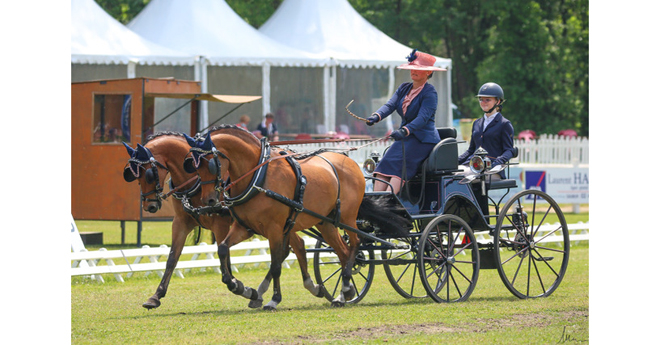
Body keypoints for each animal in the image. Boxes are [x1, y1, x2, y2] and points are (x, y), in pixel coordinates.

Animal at [124, 132, 322, 310]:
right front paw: (155, 296)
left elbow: (224, 258)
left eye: (149, 174)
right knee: (295, 246)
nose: (149, 206)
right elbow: (172, 258)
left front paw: (240, 287)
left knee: (292, 247)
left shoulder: (221, 224)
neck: (194, 184)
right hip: (281, 224)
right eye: (133, 176)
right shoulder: (181, 222)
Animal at [183, 125, 404, 308]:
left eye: (211, 164)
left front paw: (273, 299)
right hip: (326, 223)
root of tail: (351, 163)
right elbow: (222, 249)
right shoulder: (245, 228)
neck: (258, 176)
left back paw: (345, 287)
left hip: (347, 218)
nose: (209, 200)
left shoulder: (274, 229)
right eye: (193, 166)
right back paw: (344, 292)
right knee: (343, 251)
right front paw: (239, 286)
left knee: (355, 244)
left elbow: (275, 263)